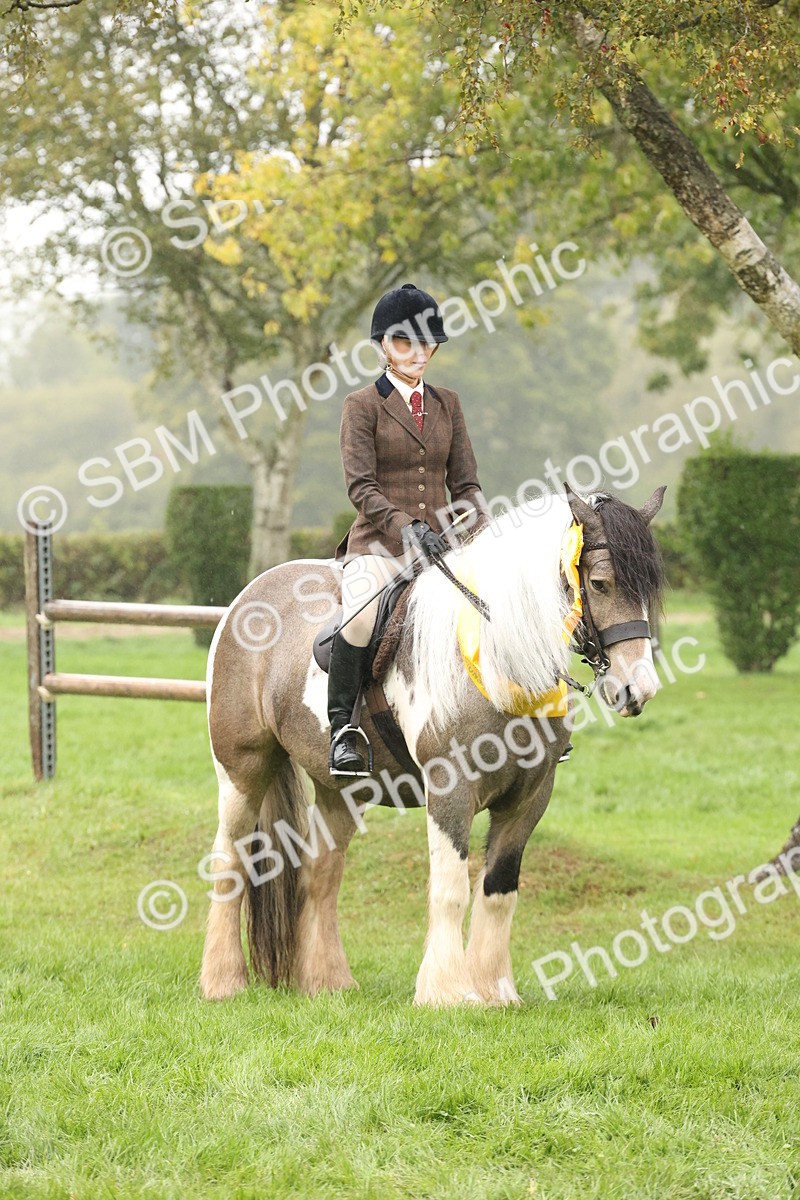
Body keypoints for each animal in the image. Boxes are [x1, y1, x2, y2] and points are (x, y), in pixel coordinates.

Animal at [199, 485, 666, 1006]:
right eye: (601, 583)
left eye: (650, 588)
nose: (639, 689)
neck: (500, 659)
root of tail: (249, 595)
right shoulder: (450, 790)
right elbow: (450, 889)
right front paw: (445, 993)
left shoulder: (529, 798)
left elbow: (499, 891)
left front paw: (495, 990)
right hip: (243, 772)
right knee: (231, 861)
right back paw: (223, 982)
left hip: (341, 790)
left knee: (322, 873)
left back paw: (328, 982)